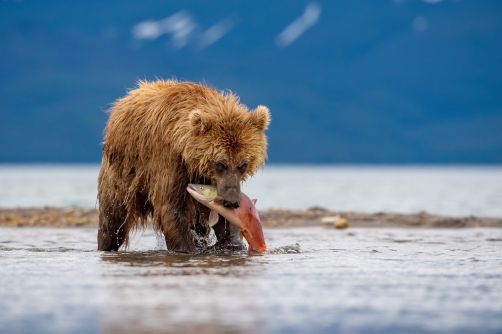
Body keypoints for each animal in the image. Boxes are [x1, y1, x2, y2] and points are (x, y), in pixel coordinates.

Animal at [97, 81, 270, 252]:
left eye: (243, 164)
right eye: (220, 163)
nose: (232, 202)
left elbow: (222, 214)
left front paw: (230, 242)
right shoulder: (170, 160)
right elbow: (171, 207)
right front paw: (187, 247)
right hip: (121, 177)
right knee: (112, 221)